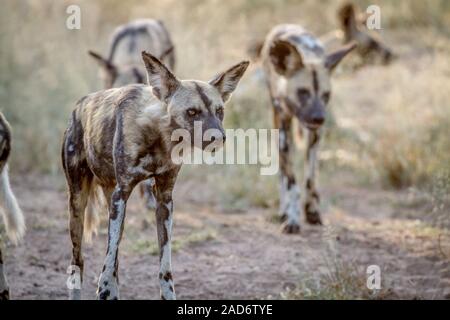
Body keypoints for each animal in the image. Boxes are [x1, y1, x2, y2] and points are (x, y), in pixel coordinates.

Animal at [62, 51, 250, 298]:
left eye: (219, 111)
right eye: (192, 112)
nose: (219, 138)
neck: (159, 137)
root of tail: (78, 106)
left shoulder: (164, 200)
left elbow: (164, 266)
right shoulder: (122, 194)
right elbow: (108, 262)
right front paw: (105, 289)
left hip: (112, 200)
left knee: (115, 258)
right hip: (79, 204)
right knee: (79, 261)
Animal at [256, 23, 356, 232]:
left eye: (326, 95)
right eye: (303, 92)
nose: (319, 118)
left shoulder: (316, 135)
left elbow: (310, 178)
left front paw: (312, 212)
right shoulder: (283, 130)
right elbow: (291, 183)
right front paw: (292, 218)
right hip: (279, 127)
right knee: (282, 172)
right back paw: (283, 211)